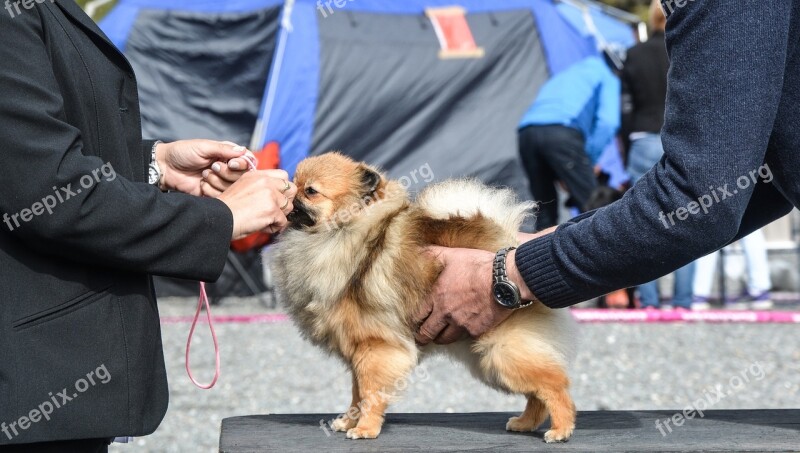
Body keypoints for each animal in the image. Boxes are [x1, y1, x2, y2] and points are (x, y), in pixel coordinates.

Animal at [272, 152, 580, 442]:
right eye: (293, 182)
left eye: (310, 191)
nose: (287, 191)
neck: (340, 233)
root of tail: (508, 242)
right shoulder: (359, 352)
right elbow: (356, 394)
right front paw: (349, 422)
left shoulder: (376, 348)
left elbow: (369, 393)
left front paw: (365, 429)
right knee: (537, 394)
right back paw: (525, 423)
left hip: (502, 352)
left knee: (554, 385)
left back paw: (561, 429)